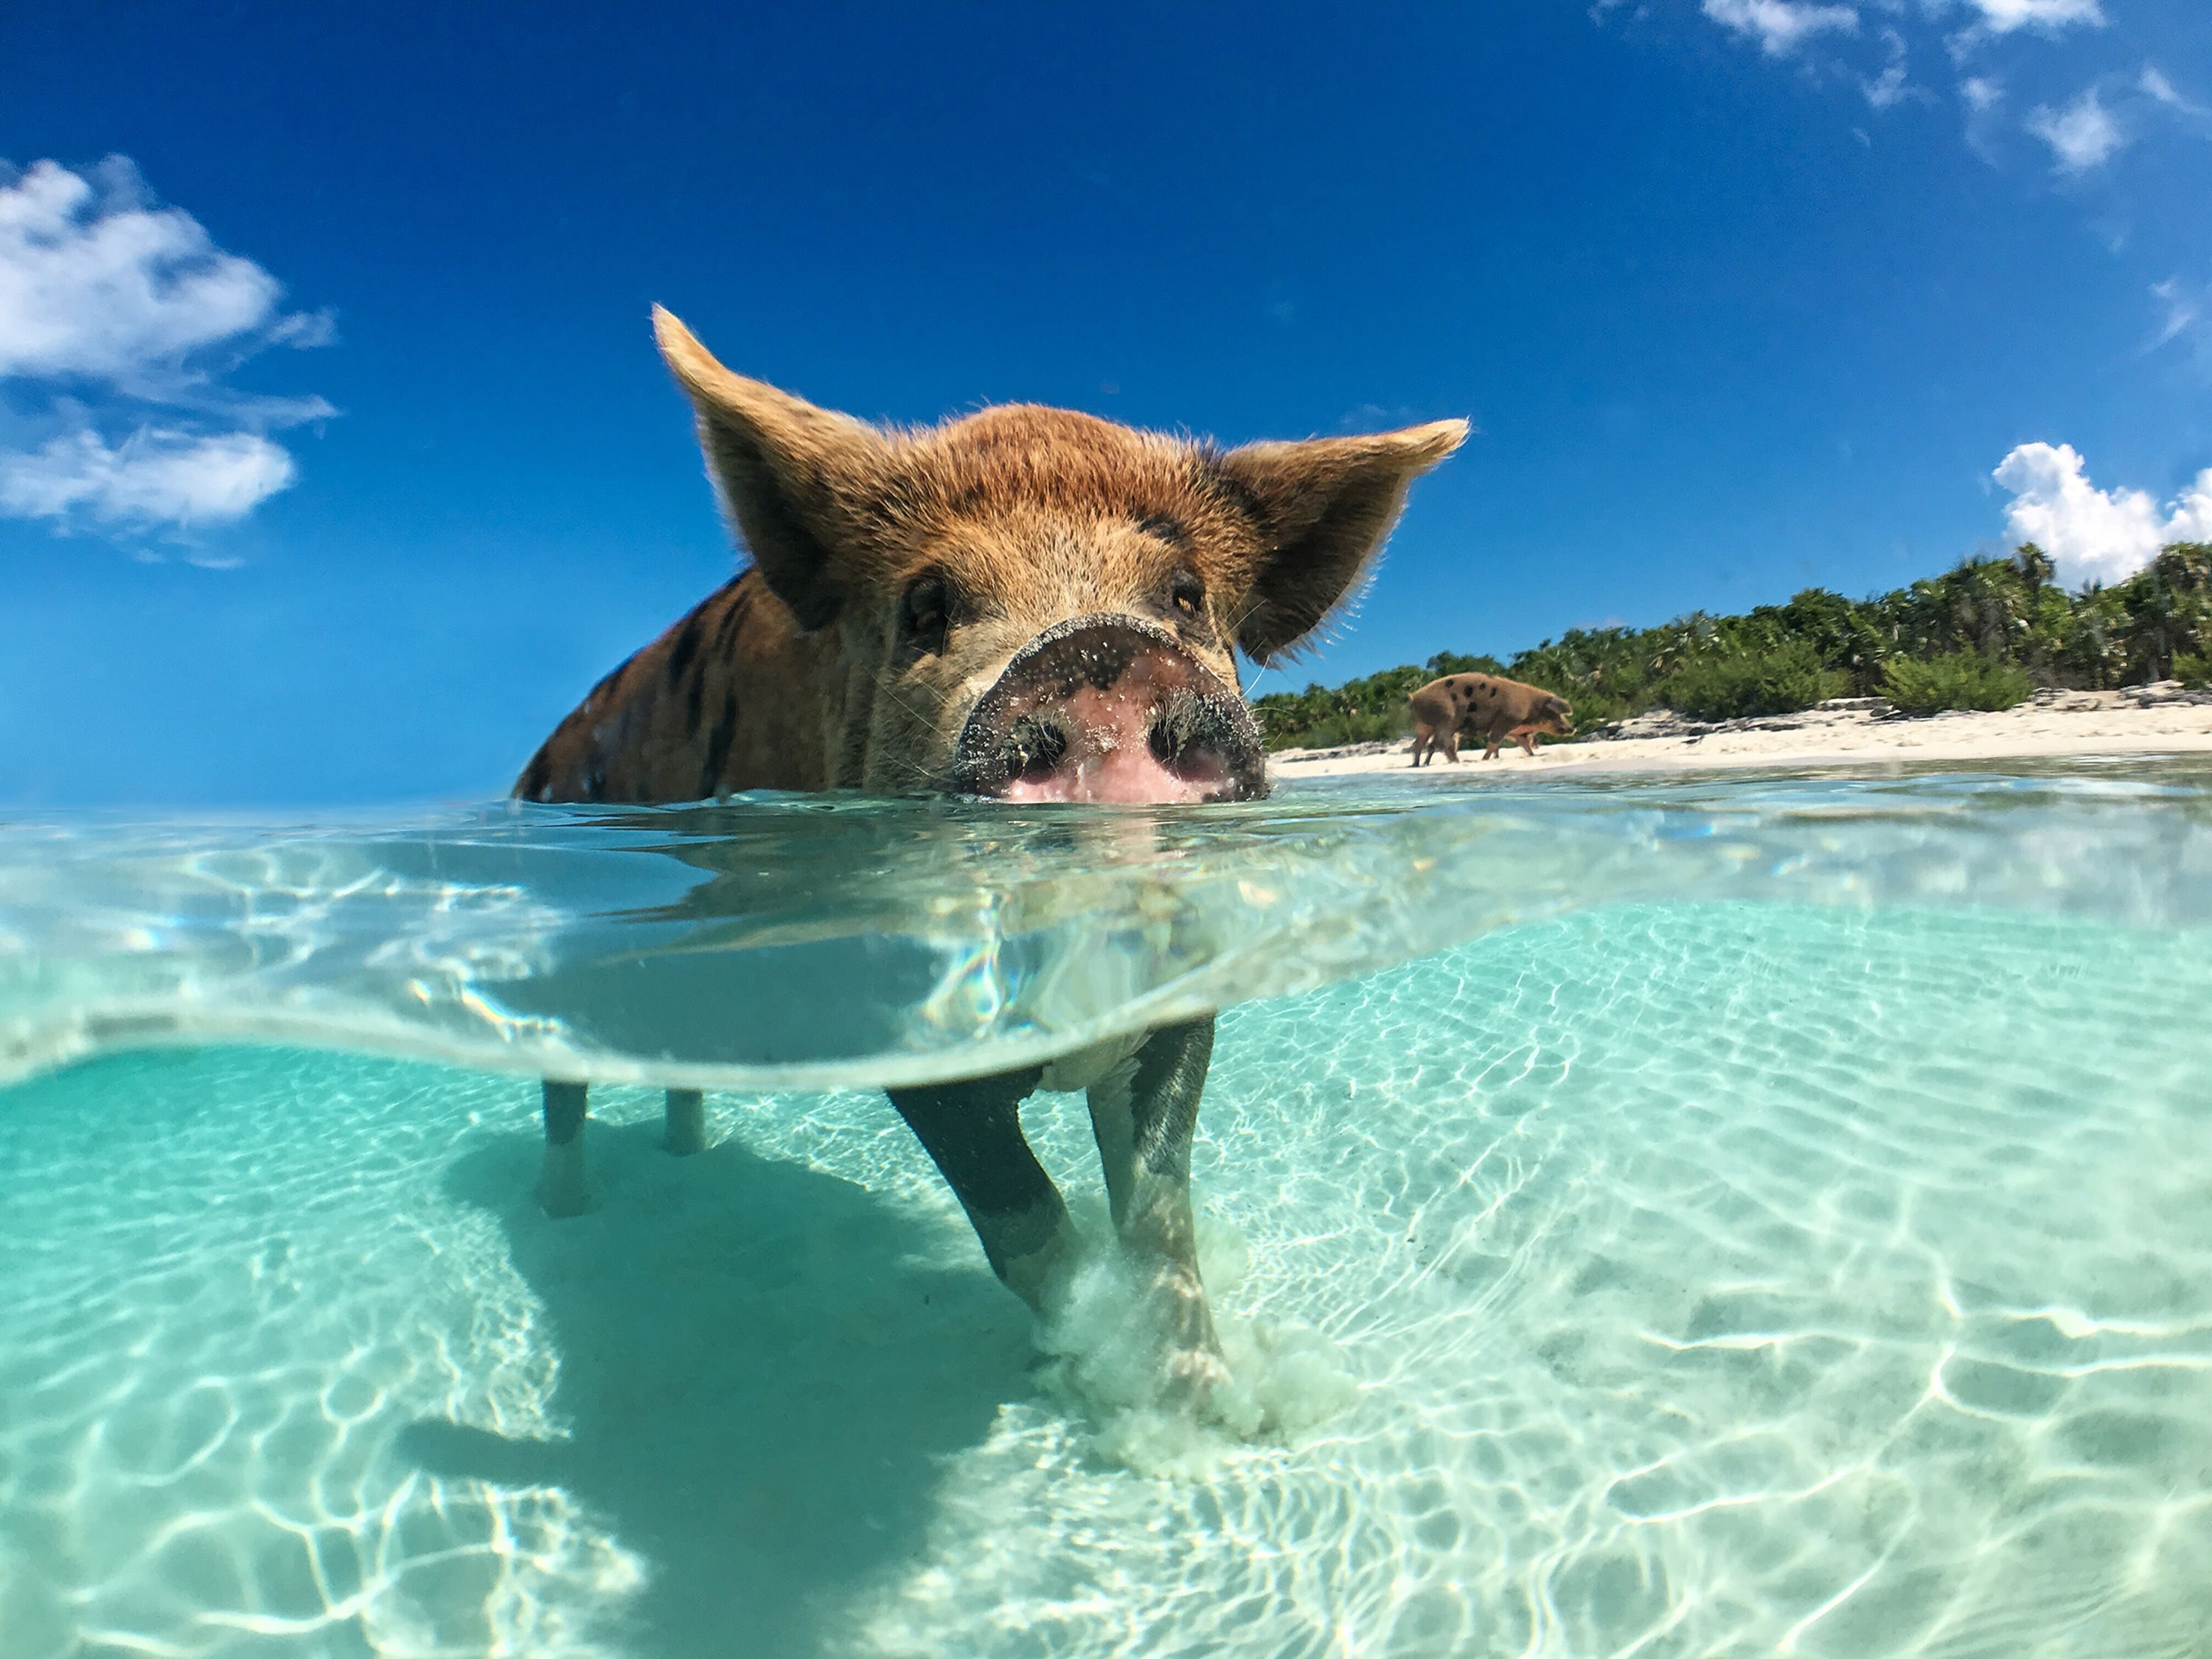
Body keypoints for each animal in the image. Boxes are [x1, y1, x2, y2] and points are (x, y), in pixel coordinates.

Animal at [514, 307, 1466, 1400]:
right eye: (927, 604)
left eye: (1186, 595)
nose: (1098, 652)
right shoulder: (892, 1011)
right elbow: (1025, 1223)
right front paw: (1089, 1377)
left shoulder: (1185, 993)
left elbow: (1159, 1216)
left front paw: (1213, 1408)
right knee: (562, 1087)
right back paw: (564, 1213)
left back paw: (683, 1162)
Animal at [1407, 673, 1573, 765]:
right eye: (1555, 714)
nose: (1572, 728)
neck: (1531, 706)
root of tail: (1414, 697)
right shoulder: (1505, 721)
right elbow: (1494, 744)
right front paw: (1484, 760)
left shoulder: (1516, 731)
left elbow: (1525, 745)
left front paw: (1533, 755)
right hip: (1446, 721)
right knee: (1443, 744)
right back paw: (1455, 762)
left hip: (1425, 727)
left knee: (1419, 744)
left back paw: (1417, 765)